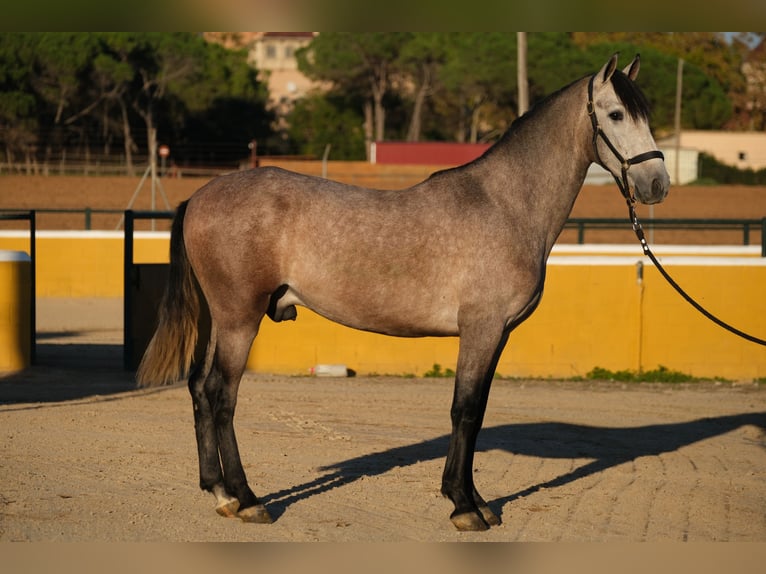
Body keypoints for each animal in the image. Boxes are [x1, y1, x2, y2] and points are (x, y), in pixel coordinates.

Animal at [138, 55, 672, 536]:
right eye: (616, 114)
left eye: (646, 114)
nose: (657, 184)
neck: (505, 204)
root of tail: (200, 196)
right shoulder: (480, 329)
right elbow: (465, 410)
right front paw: (463, 506)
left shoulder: (496, 335)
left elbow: (477, 413)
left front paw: (476, 500)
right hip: (238, 320)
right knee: (220, 395)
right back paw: (248, 500)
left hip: (218, 319)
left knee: (198, 390)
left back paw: (221, 493)